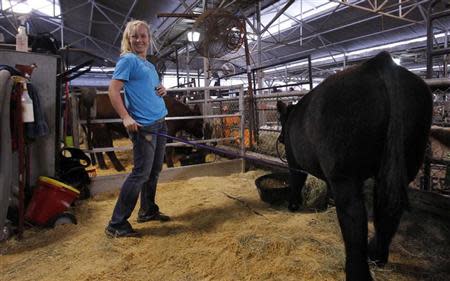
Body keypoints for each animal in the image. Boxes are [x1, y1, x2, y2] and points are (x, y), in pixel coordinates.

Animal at [278, 50, 432, 280]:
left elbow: (297, 180)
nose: (279, 138)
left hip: (344, 173)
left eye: (281, 122)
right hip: (407, 159)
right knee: (387, 209)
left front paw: (293, 205)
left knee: (354, 217)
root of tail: (379, 62)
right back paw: (377, 256)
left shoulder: (294, 159)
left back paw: (357, 271)